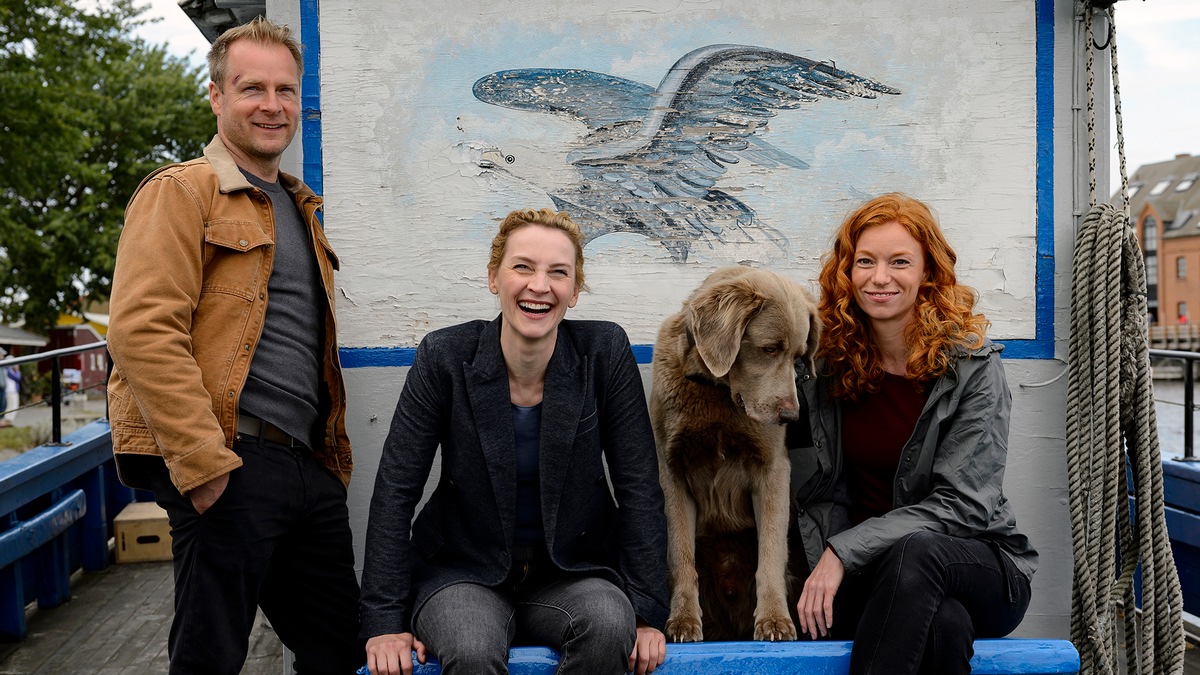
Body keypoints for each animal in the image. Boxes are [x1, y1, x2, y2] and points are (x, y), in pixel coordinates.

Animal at [652, 264, 820, 638]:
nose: (791, 417)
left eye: (799, 358)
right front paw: (683, 620)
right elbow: (680, 552)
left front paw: (774, 620)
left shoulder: (772, 470)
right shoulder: (672, 470)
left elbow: (770, 551)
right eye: (769, 349)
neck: (718, 393)